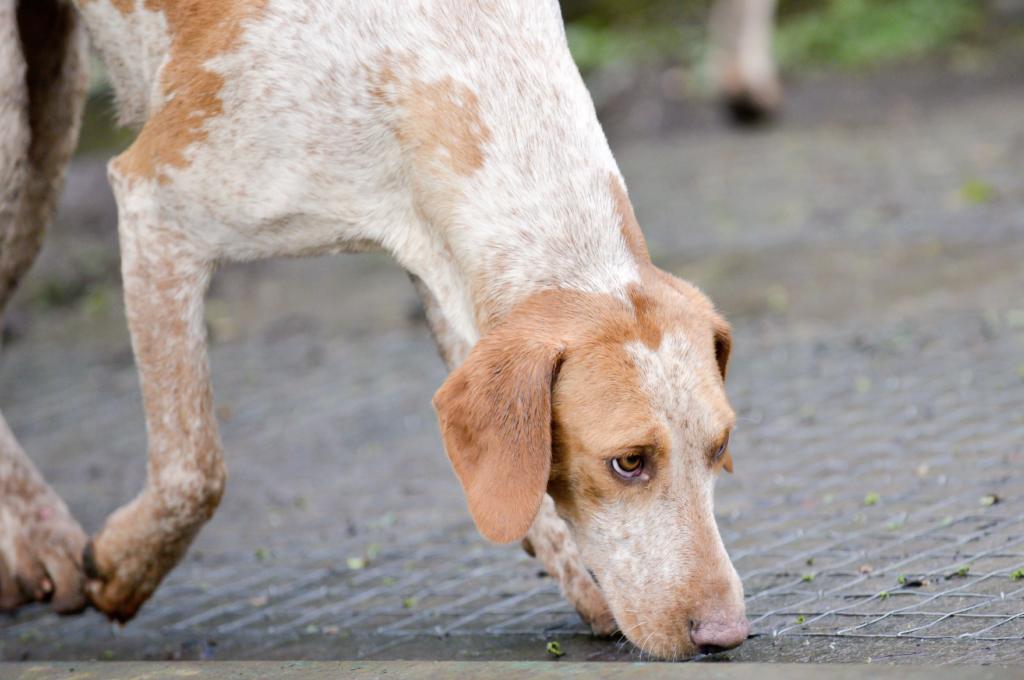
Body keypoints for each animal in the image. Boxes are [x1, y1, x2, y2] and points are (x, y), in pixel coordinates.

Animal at [2, 0, 753, 659]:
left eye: (719, 449)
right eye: (628, 462)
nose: (726, 636)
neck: (444, 53)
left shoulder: (448, 268)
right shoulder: (156, 207)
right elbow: (196, 470)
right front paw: (128, 563)